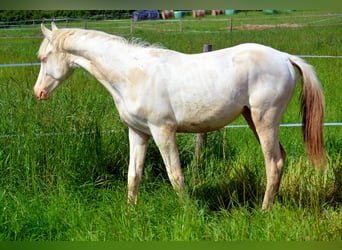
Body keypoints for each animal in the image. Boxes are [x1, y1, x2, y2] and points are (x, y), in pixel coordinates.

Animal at [33, 23, 324, 210]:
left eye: (44, 58)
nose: (38, 93)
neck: (131, 74)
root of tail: (285, 58)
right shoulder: (138, 132)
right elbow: (133, 175)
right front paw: (130, 213)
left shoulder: (163, 131)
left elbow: (175, 176)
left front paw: (186, 214)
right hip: (252, 118)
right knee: (280, 159)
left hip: (265, 120)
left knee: (273, 162)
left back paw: (264, 211)